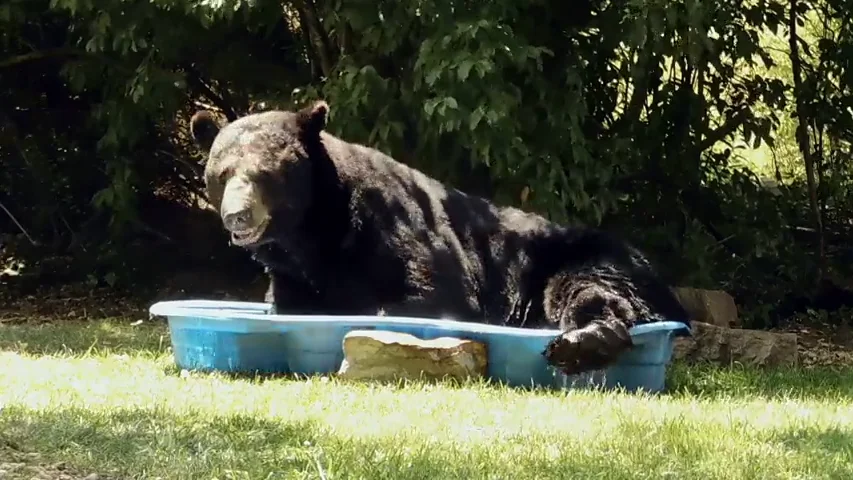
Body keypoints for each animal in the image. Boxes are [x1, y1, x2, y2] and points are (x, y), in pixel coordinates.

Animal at [188, 100, 690, 376]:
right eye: (222, 172)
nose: (237, 215)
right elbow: (292, 304)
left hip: (587, 256)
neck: (317, 233)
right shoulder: (293, 276)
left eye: (266, 173)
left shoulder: (397, 228)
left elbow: (433, 292)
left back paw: (578, 341)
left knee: (590, 289)